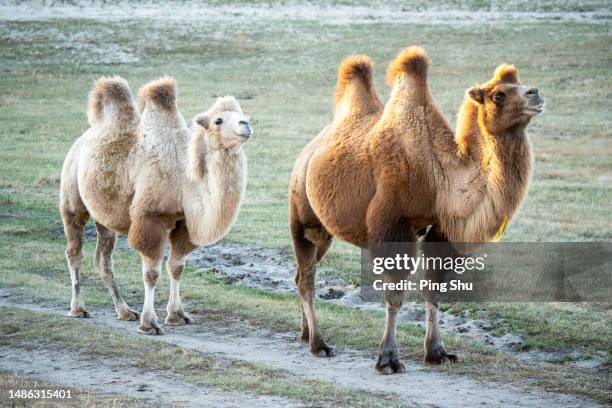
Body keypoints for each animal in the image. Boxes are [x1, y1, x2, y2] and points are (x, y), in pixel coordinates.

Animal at [59, 76, 251, 334]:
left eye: (242, 114)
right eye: (218, 120)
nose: (246, 125)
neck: (184, 178)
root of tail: (83, 139)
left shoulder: (184, 224)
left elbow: (176, 267)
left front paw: (177, 315)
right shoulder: (151, 218)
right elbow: (151, 272)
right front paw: (149, 323)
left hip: (104, 217)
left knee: (103, 259)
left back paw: (125, 311)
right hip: (72, 195)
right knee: (74, 251)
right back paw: (78, 308)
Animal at [290, 47, 544, 372]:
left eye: (520, 83)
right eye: (498, 94)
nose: (536, 94)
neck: (439, 175)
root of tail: (308, 152)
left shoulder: (441, 230)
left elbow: (433, 290)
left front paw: (437, 352)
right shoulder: (393, 223)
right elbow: (396, 295)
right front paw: (388, 359)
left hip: (325, 231)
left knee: (301, 273)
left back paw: (304, 332)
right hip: (302, 215)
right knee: (307, 277)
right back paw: (318, 344)